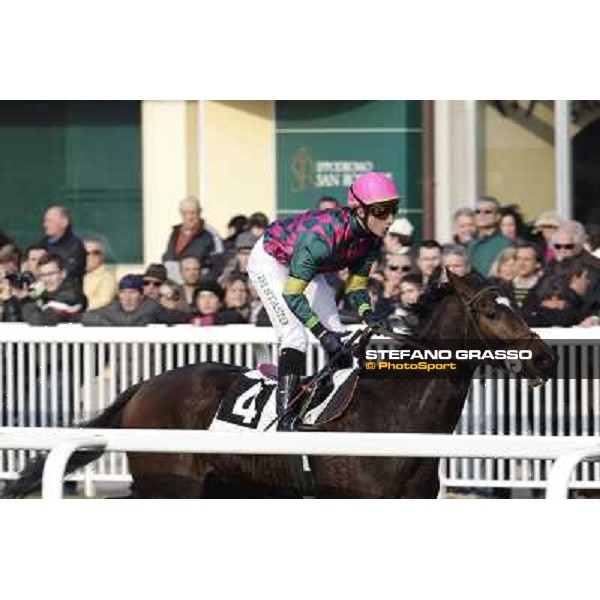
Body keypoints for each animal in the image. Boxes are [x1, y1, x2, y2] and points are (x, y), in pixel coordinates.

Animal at [4, 272, 556, 496]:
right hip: (173, 485)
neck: (394, 418)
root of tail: (145, 386)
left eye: (517, 303)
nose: (547, 358)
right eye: (491, 312)